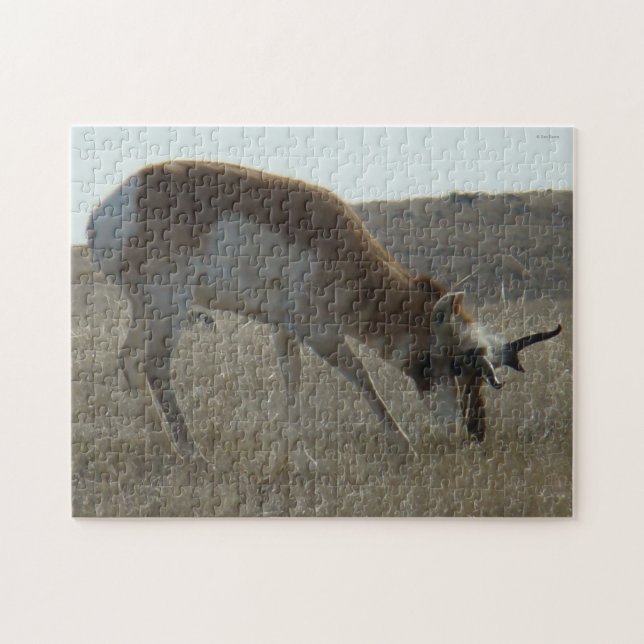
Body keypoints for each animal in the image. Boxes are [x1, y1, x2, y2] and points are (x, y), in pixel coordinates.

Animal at [88, 161, 561, 456]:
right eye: (460, 363)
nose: (476, 432)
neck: (344, 246)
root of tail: (110, 208)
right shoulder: (322, 334)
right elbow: (361, 377)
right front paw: (403, 445)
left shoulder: (284, 331)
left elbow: (291, 380)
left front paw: (299, 460)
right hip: (167, 310)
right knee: (153, 366)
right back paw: (195, 456)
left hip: (146, 311)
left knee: (127, 360)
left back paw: (163, 449)